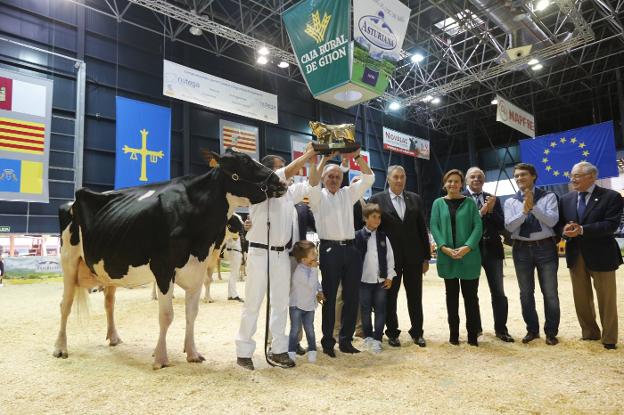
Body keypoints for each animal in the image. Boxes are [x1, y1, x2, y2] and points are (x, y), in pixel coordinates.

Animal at [53, 150, 286, 370]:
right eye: (245, 161)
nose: (281, 182)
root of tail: (73, 199)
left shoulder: (198, 268)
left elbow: (192, 313)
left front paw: (192, 353)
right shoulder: (163, 269)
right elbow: (166, 315)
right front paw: (161, 358)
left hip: (108, 268)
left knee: (109, 302)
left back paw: (114, 338)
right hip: (69, 260)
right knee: (65, 304)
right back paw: (60, 348)